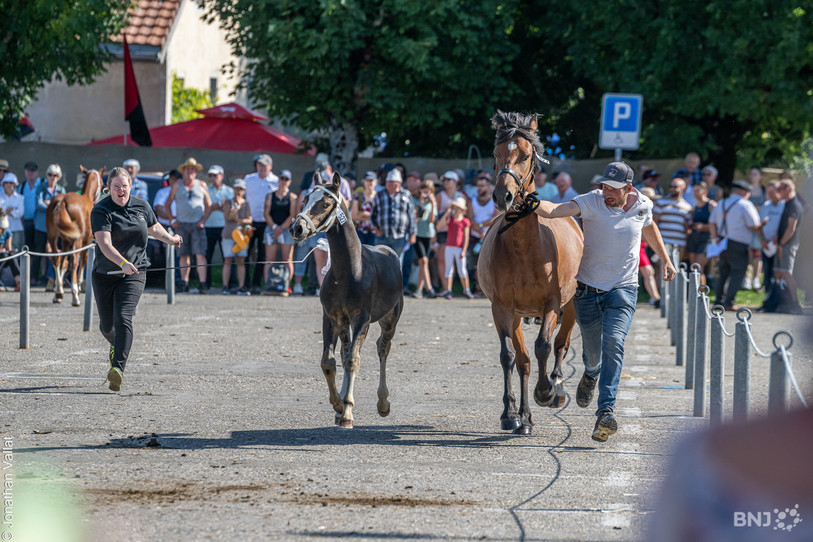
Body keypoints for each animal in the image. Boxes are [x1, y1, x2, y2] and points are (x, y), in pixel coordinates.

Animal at [45, 166, 104, 306]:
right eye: (103, 181)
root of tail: (62, 201)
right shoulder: (87, 241)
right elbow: (83, 261)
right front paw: (80, 285)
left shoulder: (65, 241)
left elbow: (62, 263)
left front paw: (58, 292)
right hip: (77, 240)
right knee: (74, 261)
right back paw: (75, 296)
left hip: (52, 236)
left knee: (56, 259)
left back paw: (59, 293)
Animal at [290, 172, 404, 428]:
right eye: (305, 199)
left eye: (325, 203)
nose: (297, 228)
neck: (350, 271)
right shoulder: (331, 317)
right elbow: (329, 362)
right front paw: (338, 404)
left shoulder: (362, 318)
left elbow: (353, 360)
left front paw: (348, 412)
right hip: (344, 324)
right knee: (344, 350)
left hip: (390, 319)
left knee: (383, 348)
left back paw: (383, 403)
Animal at [476, 111, 584, 435]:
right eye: (496, 153)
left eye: (525, 155)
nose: (503, 195)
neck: (524, 248)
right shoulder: (502, 308)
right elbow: (511, 357)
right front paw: (512, 414)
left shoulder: (551, 304)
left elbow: (544, 346)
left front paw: (545, 391)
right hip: (516, 314)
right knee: (522, 361)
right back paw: (523, 417)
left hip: (571, 306)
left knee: (561, 345)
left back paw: (556, 387)